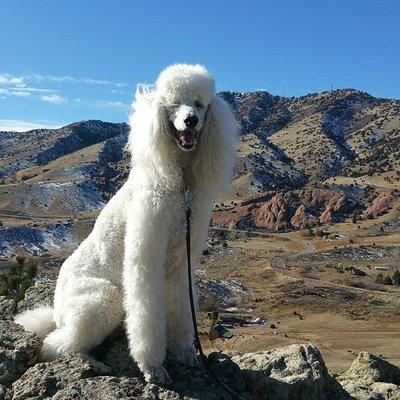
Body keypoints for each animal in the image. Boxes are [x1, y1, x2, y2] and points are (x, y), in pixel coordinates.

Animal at [15, 64, 238, 386]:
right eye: (173, 103)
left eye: (199, 104)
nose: (191, 121)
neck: (179, 186)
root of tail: (55, 312)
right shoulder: (145, 257)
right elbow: (145, 313)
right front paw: (153, 366)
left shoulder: (182, 260)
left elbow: (183, 306)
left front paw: (184, 350)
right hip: (103, 298)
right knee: (54, 345)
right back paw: (91, 361)